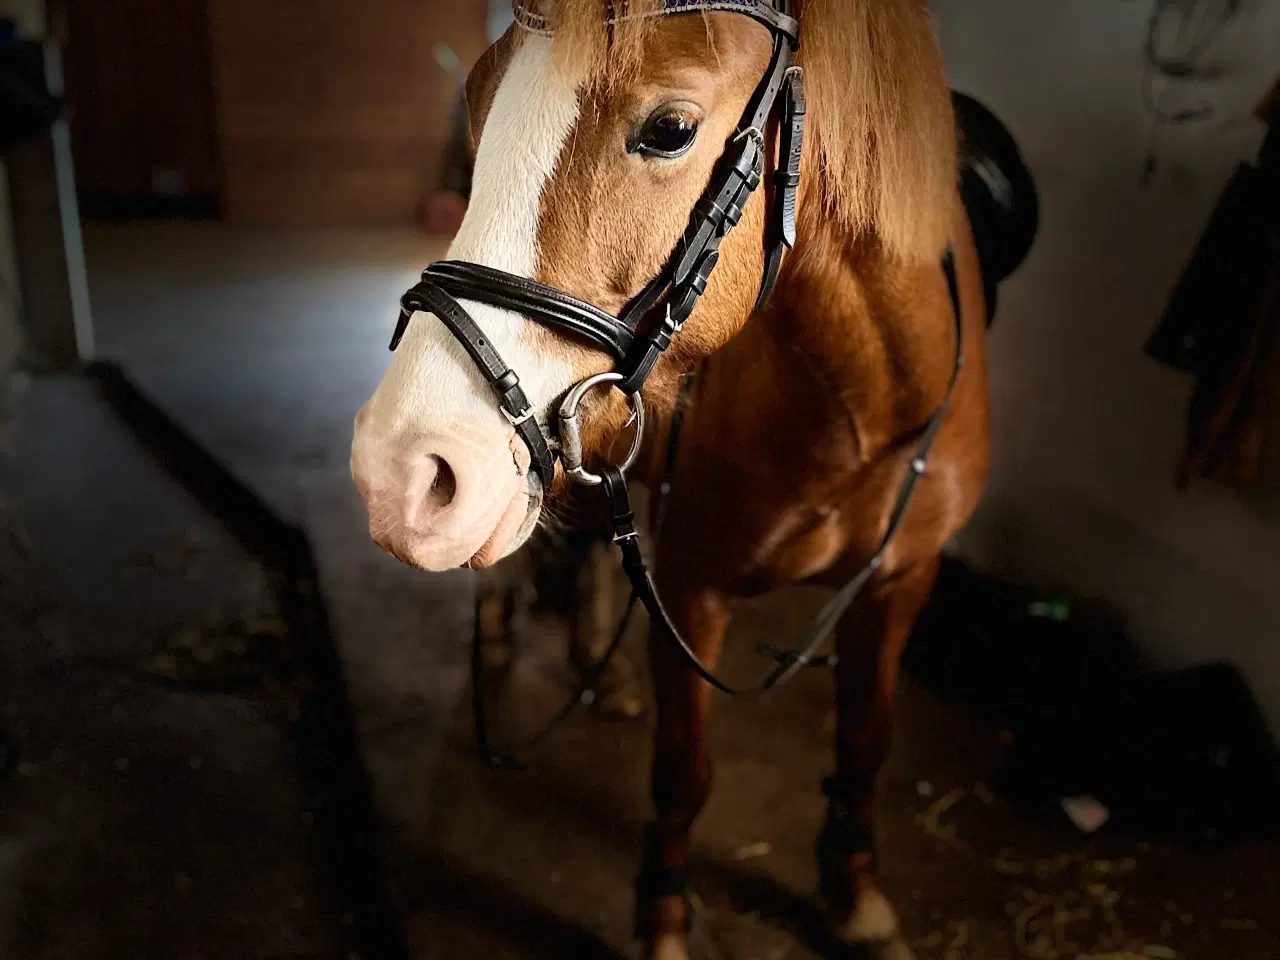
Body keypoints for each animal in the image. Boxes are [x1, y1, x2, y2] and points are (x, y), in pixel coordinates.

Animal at [350, 1, 1036, 956]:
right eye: (478, 101)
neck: (862, 405)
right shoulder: (692, 590)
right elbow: (685, 773)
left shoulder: (901, 584)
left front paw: (854, 892)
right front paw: (665, 916)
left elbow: (865, 742)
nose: (400, 473)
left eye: (669, 130)